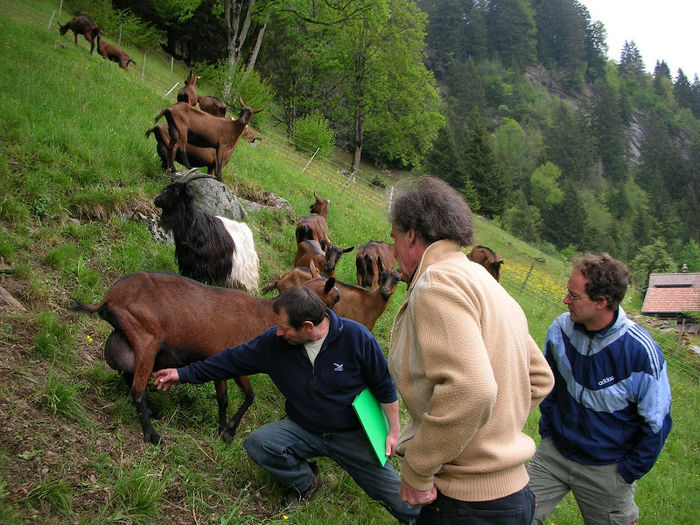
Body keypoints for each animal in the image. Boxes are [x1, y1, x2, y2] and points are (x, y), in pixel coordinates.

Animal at [68, 270, 340, 442]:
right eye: (335, 297)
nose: (331, 322)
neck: (262, 315)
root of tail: (109, 297)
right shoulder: (226, 356)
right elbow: (232, 398)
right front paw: (227, 431)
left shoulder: (231, 363)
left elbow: (240, 396)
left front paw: (224, 430)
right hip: (147, 339)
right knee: (137, 388)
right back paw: (151, 434)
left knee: (128, 375)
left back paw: (153, 411)